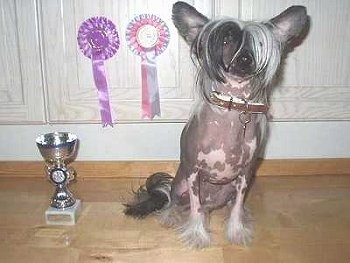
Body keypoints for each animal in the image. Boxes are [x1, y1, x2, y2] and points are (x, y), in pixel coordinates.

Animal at [123, 1, 308, 250]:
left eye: (258, 44)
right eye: (226, 41)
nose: (245, 59)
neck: (232, 107)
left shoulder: (246, 174)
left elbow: (237, 206)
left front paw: (236, 230)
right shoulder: (193, 171)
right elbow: (195, 207)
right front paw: (197, 234)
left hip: (229, 188)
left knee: (228, 204)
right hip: (179, 185)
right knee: (177, 202)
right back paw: (172, 215)